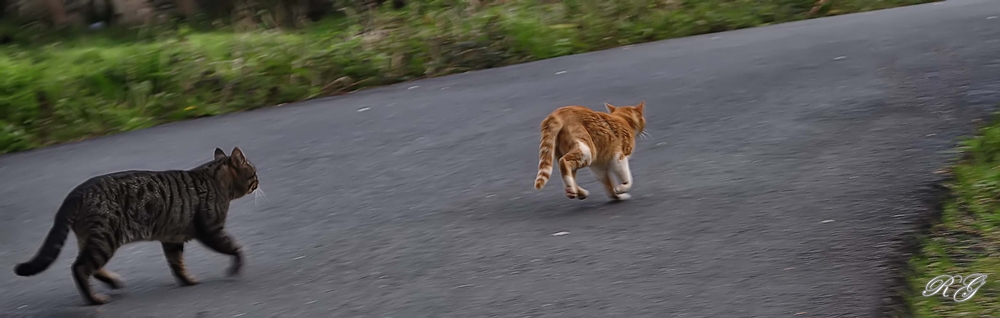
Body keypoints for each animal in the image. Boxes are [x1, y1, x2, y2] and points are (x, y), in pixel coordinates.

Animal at [13, 147, 260, 306]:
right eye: (254, 173)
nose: (259, 181)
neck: (216, 180)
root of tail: (76, 192)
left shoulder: (172, 239)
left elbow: (177, 264)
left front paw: (187, 280)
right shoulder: (211, 230)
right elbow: (235, 247)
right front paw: (236, 266)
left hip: (93, 238)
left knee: (86, 265)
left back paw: (112, 282)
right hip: (105, 238)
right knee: (79, 268)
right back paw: (95, 299)